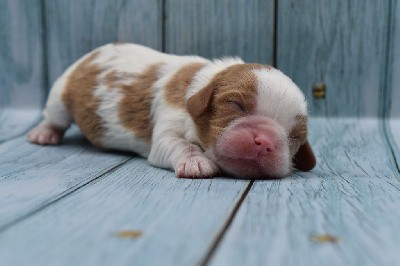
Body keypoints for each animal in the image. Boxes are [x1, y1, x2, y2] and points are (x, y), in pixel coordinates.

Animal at [27, 42, 316, 178]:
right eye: (235, 104)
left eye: (295, 136)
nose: (265, 141)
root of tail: (93, 53)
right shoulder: (168, 125)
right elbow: (180, 144)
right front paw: (197, 162)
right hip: (60, 94)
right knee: (54, 117)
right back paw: (44, 134)